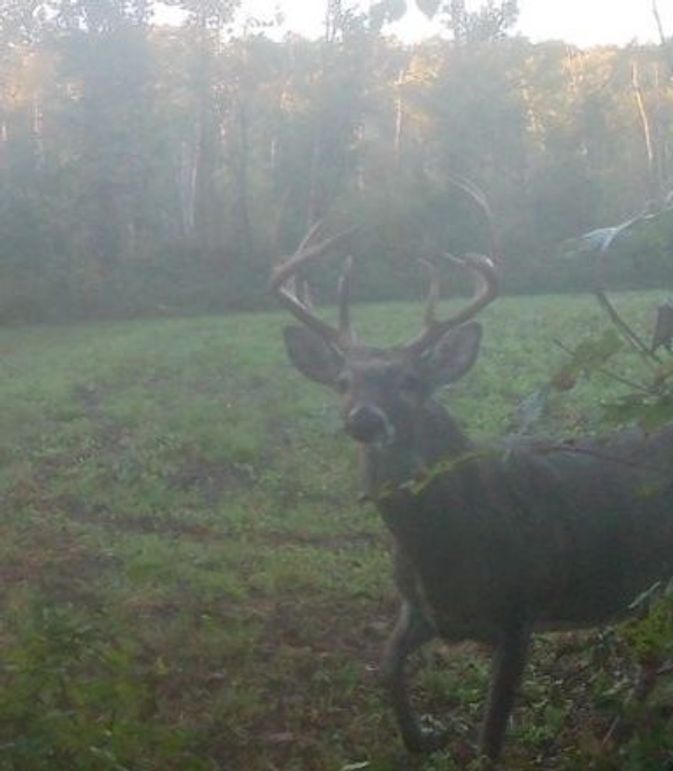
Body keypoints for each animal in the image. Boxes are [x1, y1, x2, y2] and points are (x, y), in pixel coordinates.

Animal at [270, 215, 673, 764]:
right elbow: (387, 665)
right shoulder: (420, 609)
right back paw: (615, 738)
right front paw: (421, 737)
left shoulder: (521, 611)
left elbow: (490, 735)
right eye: (342, 381)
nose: (364, 419)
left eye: (410, 381)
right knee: (651, 662)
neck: (448, 545)